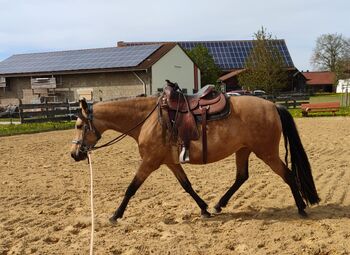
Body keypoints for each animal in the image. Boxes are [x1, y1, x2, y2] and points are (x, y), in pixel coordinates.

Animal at [70, 86, 320, 223]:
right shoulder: (170, 162)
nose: (74, 154)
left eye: (79, 125)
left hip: (266, 153)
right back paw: (219, 205)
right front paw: (205, 209)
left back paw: (301, 208)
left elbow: (131, 188)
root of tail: (273, 106)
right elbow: (187, 186)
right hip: (244, 150)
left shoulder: (149, 162)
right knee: (241, 177)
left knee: (288, 175)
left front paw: (115, 215)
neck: (147, 119)